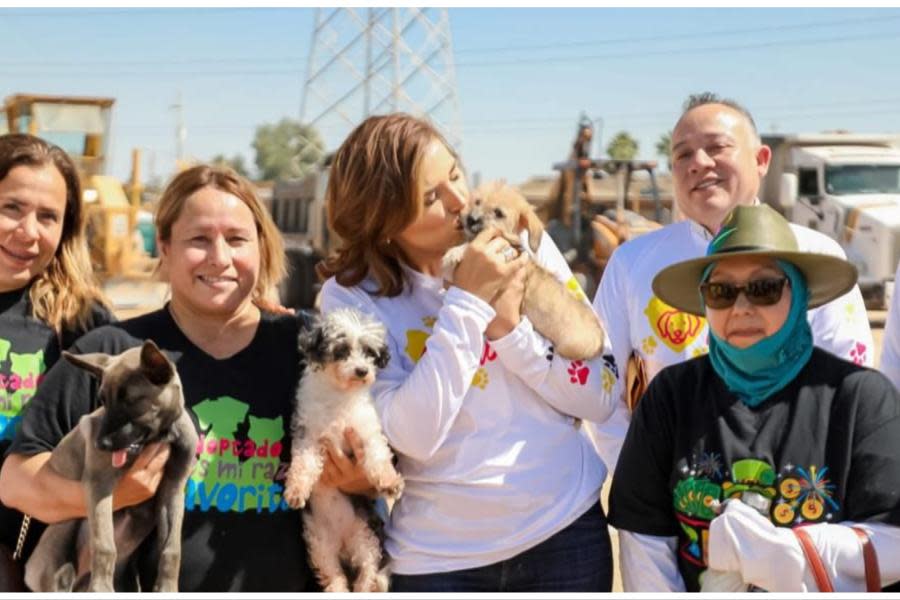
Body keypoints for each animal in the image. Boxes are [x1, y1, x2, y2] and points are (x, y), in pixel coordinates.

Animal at [24, 340, 199, 592]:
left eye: (131, 401)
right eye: (103, 400)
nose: (100, 444)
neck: (160, 438)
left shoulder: (173, 489)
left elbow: (171, 548)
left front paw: (167, 588)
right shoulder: (100, 484)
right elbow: (105, 544)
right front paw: (101, 588)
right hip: (65, 528)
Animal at [284, 312, 404, 592]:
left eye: (369, 352)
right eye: (341, 350)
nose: (362, 371)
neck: (339, 395)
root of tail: (343, 545)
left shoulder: (366, 431)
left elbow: (378, 455)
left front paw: (389, 481)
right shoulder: (308, 435)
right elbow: (304, 464)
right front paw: (296, 490)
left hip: (366, 537)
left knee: (367, 572)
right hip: (320, 544)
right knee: (335, 575)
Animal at [442, 183, 604, 358]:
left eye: (498, 213)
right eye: (477, 202)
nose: (471, 219)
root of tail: (600, 341)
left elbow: (472, 246)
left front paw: (454, 253)